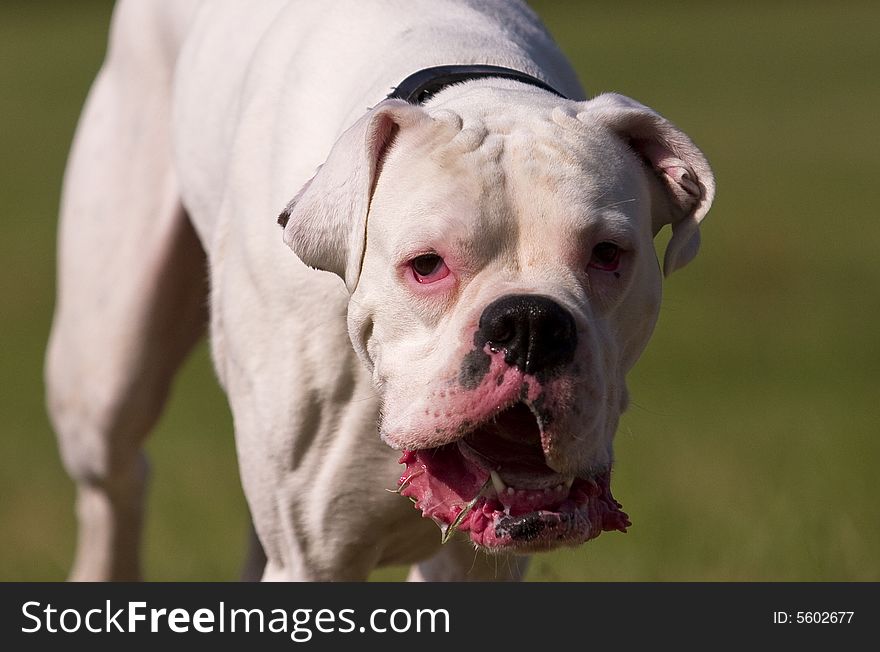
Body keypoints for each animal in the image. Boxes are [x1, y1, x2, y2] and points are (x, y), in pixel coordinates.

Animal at [44, 0, 712, 580]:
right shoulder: (315, 558)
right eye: (426, 265)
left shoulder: (472, 567)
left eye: (607, 255)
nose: (529, 323)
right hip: (105, 379)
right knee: (116, 482)